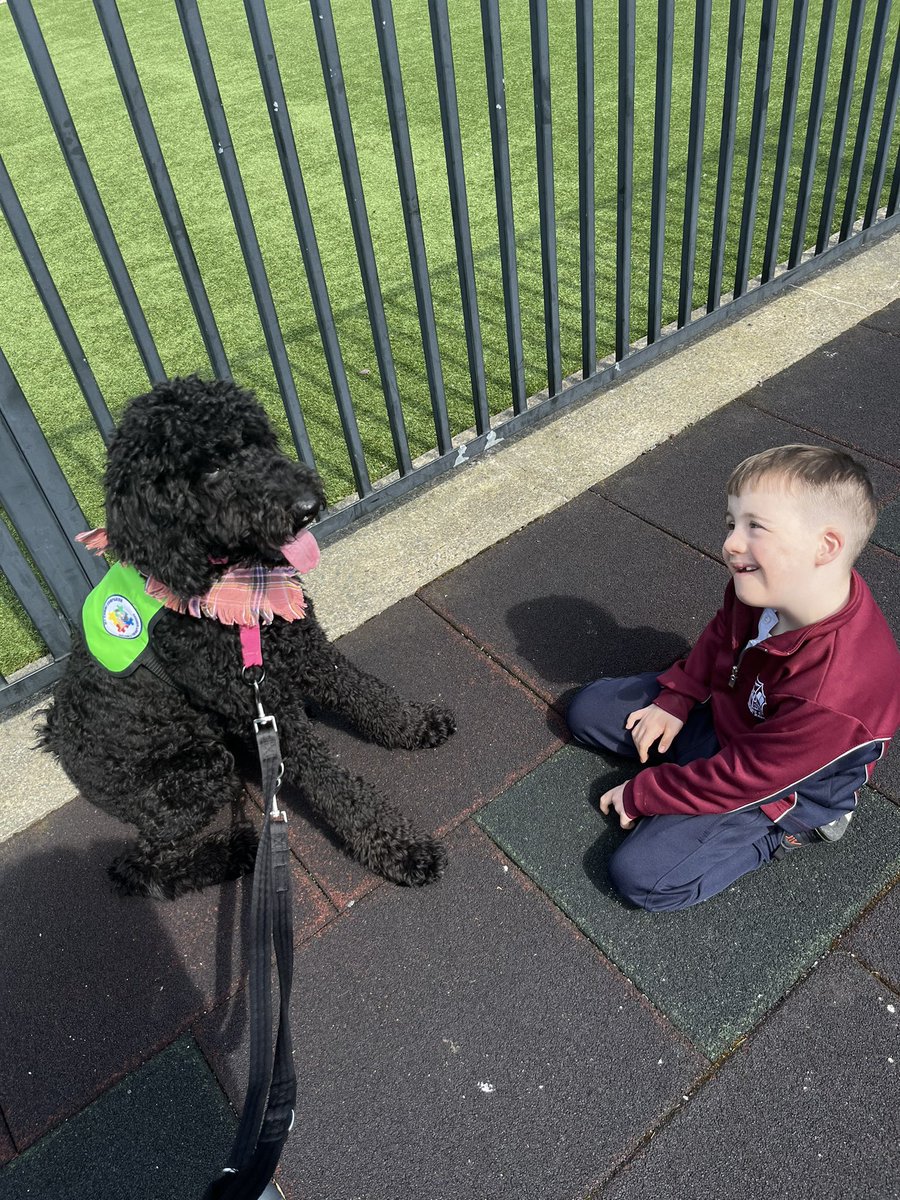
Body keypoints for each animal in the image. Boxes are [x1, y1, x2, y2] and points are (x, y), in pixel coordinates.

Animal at [43, 379, 453, 897]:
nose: (307, 505)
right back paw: (233, 852)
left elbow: (364, 690)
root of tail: (58, 737)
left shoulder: (303, 646)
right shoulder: (251, 695)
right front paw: (397, 848)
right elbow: (332, 783)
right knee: (138, 866)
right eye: (212, 470)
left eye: (255, 440)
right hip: (196, 773)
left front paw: (413, 724)